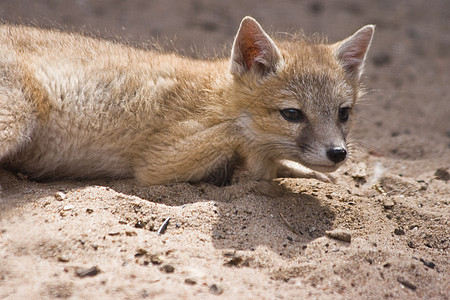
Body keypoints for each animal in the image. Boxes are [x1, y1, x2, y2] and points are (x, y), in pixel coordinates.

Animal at [0, 17, 372, 186]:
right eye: (292, 114)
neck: (216, 98)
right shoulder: (156, 162)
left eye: (344, 113)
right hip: (17, 121)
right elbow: (248, 144)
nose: (338, 153)